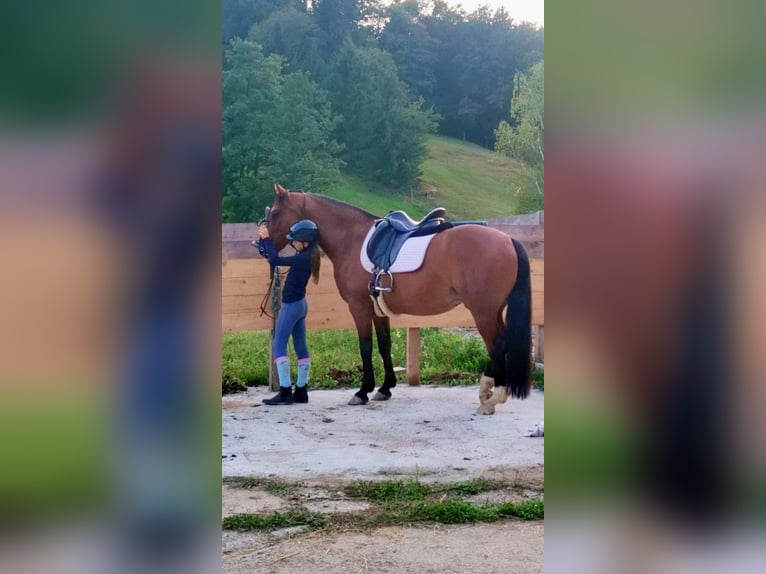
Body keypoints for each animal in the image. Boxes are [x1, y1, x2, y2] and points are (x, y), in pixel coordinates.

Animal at [268, 184, 532, 414]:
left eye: (276, 212)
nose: (267, 243)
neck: (352, 238)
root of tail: (508, 240)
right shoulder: (378, 309)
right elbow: (384, 344)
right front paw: (385, 388)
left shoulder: (359, 306)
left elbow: (365, 346)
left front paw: (362, 391)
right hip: (494, 310)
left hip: (482, 312)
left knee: (497, 345)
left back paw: (492, 398)